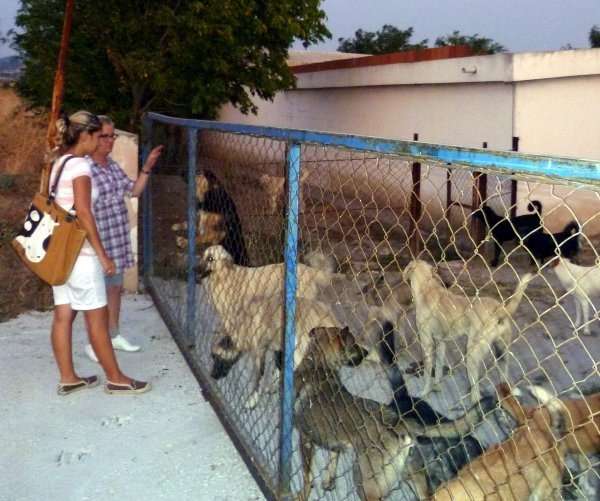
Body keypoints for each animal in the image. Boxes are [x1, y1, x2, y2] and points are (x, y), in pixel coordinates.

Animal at [400, 260, 532, 400]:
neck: (427, 288)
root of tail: (499, 309)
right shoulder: (441, 343)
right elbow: (439, 367)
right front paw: (436, 386)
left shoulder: (427, 344)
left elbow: (427, 374)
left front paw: (424, 392)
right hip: (502, 354)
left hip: (472, 355)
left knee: (476, 394)